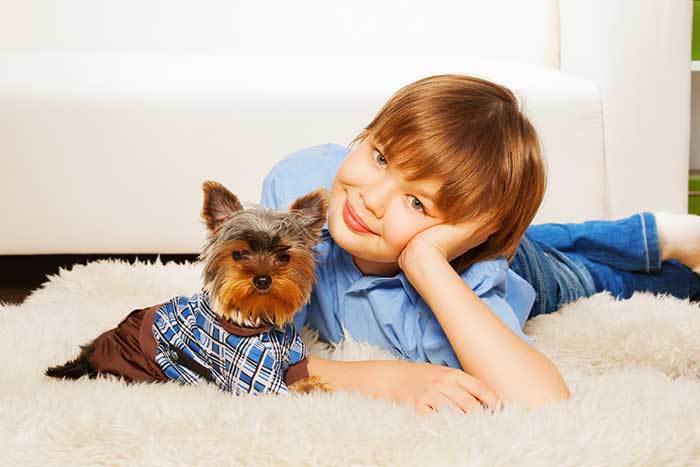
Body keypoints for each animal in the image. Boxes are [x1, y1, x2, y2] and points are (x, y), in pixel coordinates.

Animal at [45, 181, 334, 396]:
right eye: (238, 254)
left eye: (284, 257)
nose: (262, 279)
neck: (257, 321)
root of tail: (89, 354)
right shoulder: (248, 375)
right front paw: (311, 389)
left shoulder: (292, 357)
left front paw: (312, 384)